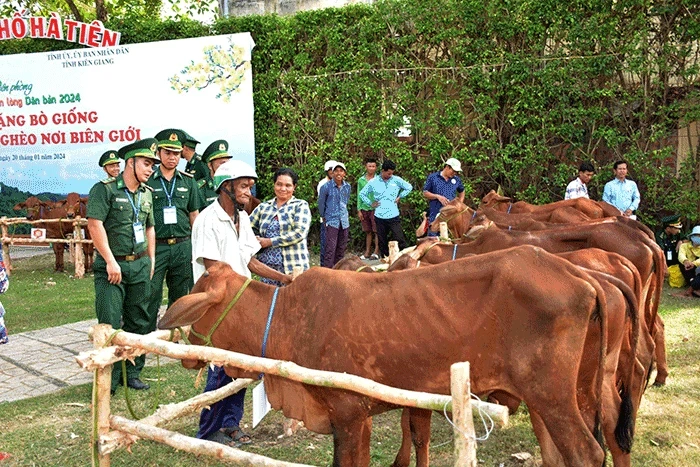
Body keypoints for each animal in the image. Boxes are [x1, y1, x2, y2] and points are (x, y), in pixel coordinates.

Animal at [159, 250, 608, 467]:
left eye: (198, 298)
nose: (187, 352)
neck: (285, 317)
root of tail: (580, 276)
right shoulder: (362, 417)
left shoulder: (346, 414)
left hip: (551, 395)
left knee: (586, 454)